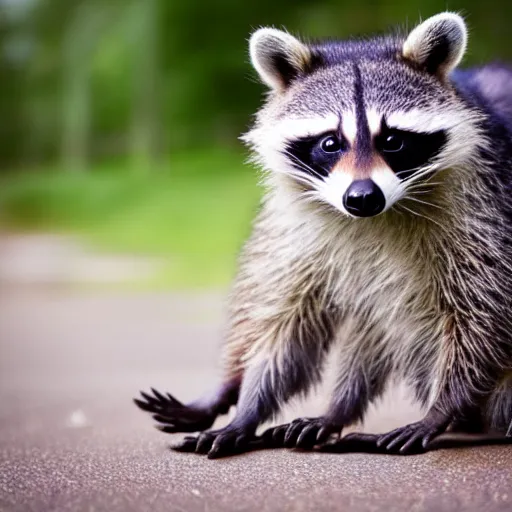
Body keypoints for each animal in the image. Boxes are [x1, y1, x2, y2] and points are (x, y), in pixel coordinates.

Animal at [133, 13, 512, 460]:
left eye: (393, 141)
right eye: (331, 143)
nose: (363, 197)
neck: (370, 219)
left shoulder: (482, 210)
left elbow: (483, 312)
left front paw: (443, 406)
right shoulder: (294, 229)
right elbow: (282, 317)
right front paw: (245, 400)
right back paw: (335, 410)